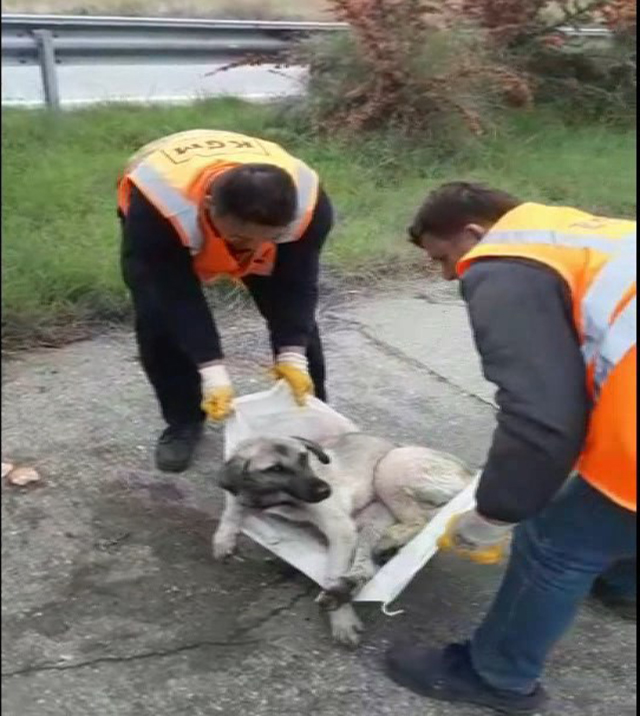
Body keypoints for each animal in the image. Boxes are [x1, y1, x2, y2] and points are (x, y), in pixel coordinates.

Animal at [215, 434, 476, 648]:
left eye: (304, 458)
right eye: (275, 468)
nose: (325, 491)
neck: (279, 499)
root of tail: (469, 473)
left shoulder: (340, 529)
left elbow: (332, 572)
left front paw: (342, 620)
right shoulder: (247, 496)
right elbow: (233, 506)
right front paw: (223, 539)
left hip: (390, 467)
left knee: (424, 519)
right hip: (374, 515)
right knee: (372, 561)